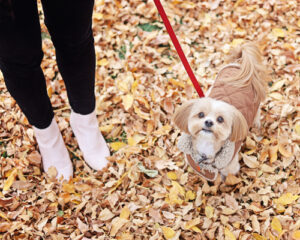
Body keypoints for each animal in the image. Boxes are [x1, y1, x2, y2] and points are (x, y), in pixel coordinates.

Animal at [172, 42, 268, 179]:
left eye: (220, 119)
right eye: (201, 114)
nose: (208, 122)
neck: (206, 146)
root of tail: (240, 65)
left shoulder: (230, 167)